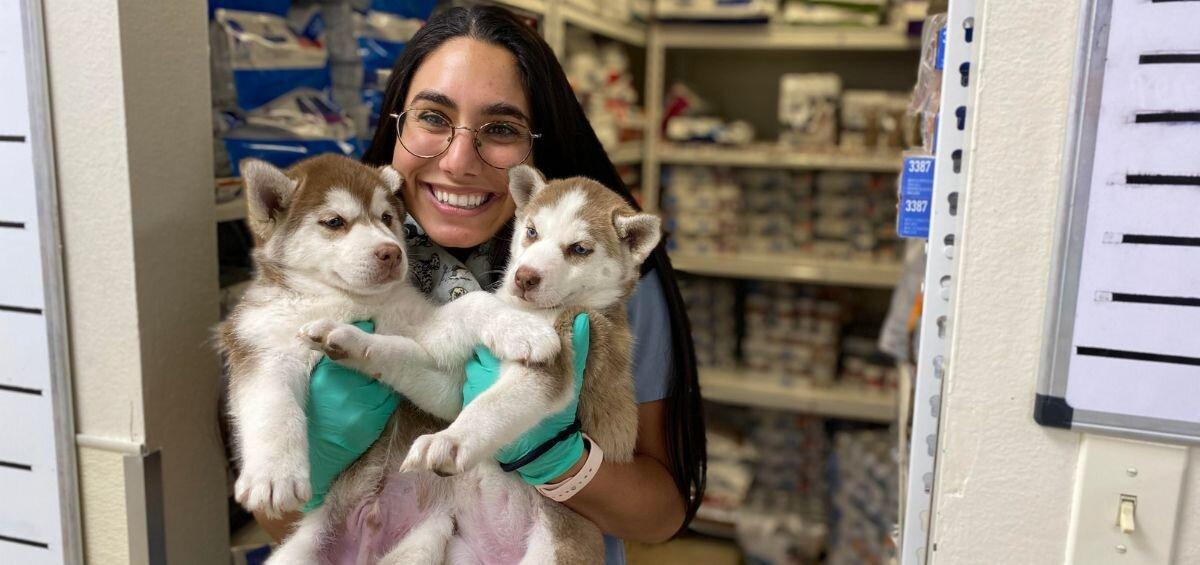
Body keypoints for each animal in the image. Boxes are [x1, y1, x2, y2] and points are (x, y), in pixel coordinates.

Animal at [217, 154, 556, 565]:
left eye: (386, 218)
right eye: (335, 222)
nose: (391, 252)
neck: (343, 299)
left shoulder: (421, 332)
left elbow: (471, 305)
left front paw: (523, 328)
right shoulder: (260, 344)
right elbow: (273, 406)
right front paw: (272, 476)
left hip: (426, 539)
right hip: (295, 553)